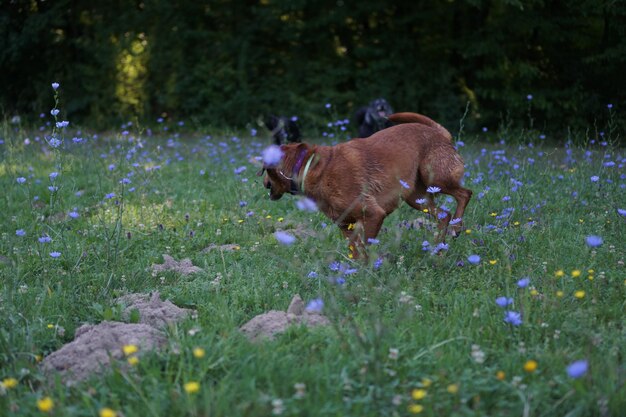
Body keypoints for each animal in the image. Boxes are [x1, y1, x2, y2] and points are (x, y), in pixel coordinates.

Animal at [258, 111, 468, 256]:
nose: (262, 182)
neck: (308, 166)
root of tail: (439, 132)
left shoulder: (374, 214)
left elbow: (366, 250)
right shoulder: (345, 225)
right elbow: (355, 251)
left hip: (436, 178)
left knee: (465, 194)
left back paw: (456, 228)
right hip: (416, 197)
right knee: (444, 215)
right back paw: (438, 248)